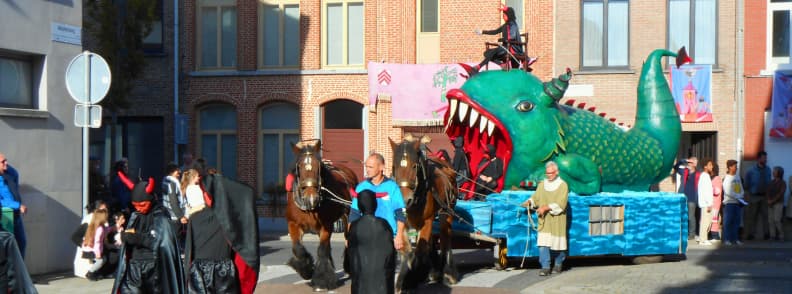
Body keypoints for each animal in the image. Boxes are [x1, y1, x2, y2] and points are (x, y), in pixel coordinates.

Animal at [286, 141, 358, 292]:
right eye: (299, 167)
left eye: (318, 166)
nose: (311, 198)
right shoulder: (293, 224)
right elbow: (298, 249)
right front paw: (306, 270)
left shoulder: (326, 225)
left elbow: (322, 250)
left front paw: (321, 281)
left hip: (347, 216)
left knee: (347, 238)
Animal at [388, 134, 458, 290]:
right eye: (394, 167)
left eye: (414, 166)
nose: (405, 200)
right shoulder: (402, 222)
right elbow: (406, 251)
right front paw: (402, 281)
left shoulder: (427, 221)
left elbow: (419, 250)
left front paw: (413, 278)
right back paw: (434, 271)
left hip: (447, 211)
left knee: (445, 237)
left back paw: (448, 273)